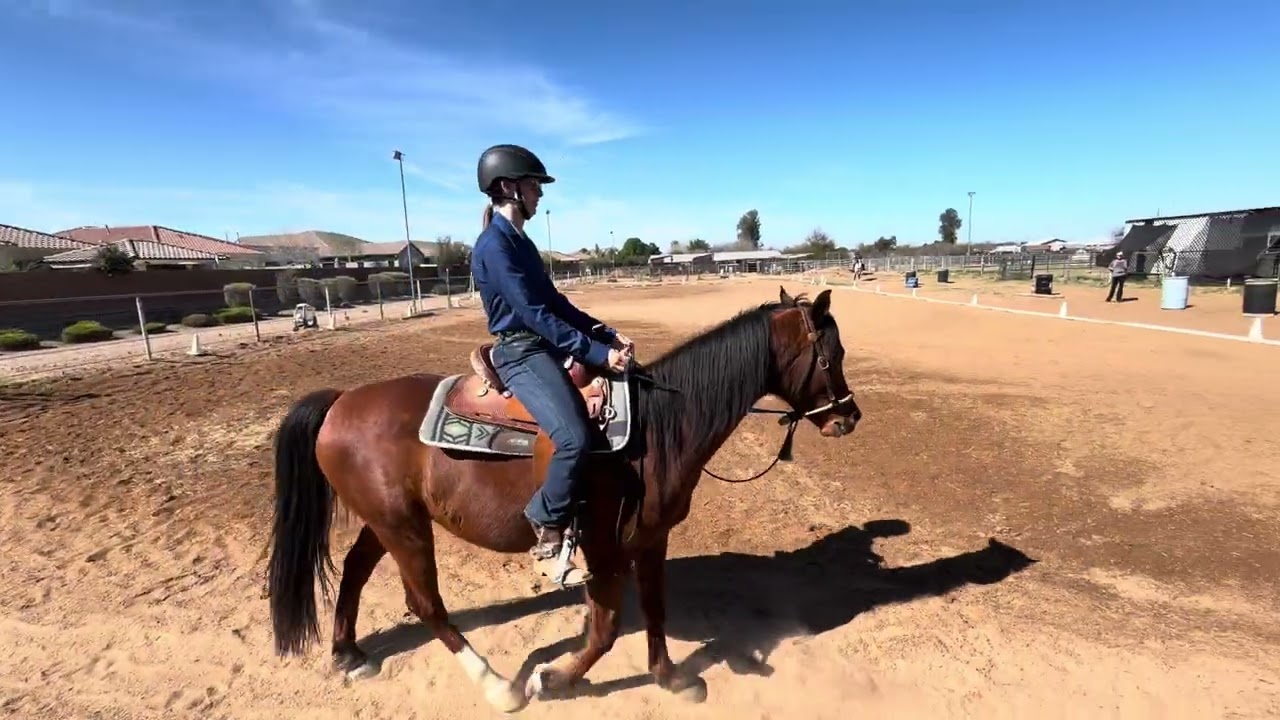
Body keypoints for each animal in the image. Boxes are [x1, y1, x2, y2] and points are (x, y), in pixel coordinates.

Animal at [265, 286, 862, 713]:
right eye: (831, 356)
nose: (849, 418)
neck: (656, 428)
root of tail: (342, 400)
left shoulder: (650, 539)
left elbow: (655, 608)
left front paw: (671, 678)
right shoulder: (602, 546)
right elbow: (605, 629)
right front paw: (552, 680)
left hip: (388, 518)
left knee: (355, 569)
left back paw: (349, 653)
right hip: (403, 526)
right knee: (425, 602)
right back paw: (498, 686)